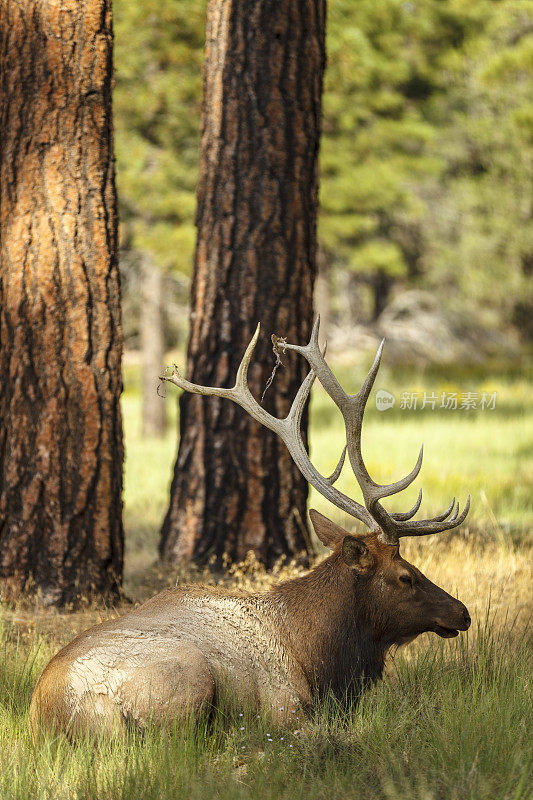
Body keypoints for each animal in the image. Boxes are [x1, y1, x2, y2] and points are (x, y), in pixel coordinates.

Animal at [30, 318, 470, 736]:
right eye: (406, 575)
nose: (463, 613)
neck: (318, 657)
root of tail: (53, 708)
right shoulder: (285, 708)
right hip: (187, 675)